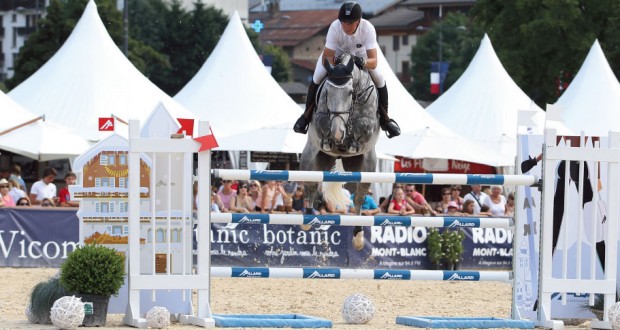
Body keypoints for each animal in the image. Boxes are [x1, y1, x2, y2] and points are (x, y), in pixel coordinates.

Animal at [300, 53, 380, 250]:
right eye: (327, 92)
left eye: (350, 93)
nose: (337, 133)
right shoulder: (321, 119)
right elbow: (323, 122)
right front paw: (332, 137)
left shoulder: (367, 127)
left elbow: (362, 127)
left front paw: (350, 140)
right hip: (313, 157)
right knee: (310, 185)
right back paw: (307, 218)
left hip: (365, 165)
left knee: (359, 197)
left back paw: (358, 235)